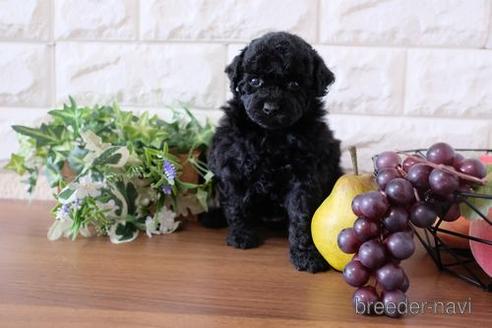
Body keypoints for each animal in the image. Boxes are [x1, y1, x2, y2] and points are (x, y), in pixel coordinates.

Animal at [200, 31, 342, 272]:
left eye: (294, 84)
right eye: (255, 81)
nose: (271, 108)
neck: (272, 135)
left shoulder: (305, 175)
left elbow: (303, 216)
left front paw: (306, 255)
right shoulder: (232, 167)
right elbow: (236, 205)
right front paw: (242, 236)